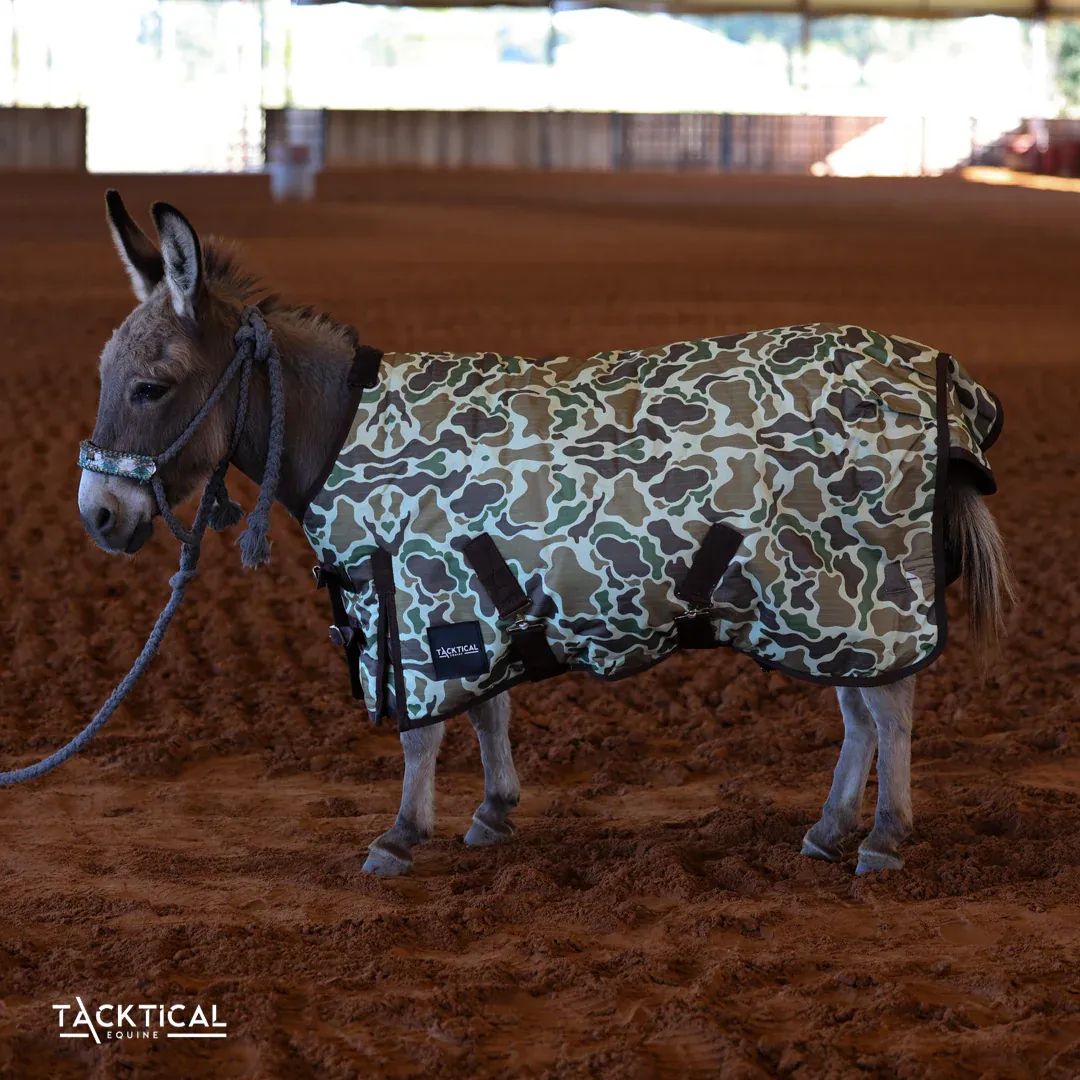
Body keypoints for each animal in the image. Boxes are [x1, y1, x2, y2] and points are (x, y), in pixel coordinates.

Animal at [79, 192, 1015, 877]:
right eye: (104, 376)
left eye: (153, 386)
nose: (100, 514)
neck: (345, 427)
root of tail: (941, 385)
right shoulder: (466, 611)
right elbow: (488, 713)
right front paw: (492, 814)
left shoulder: (417, 610)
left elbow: (424, 733)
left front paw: (400, 836)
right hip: (814, 612)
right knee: (862, 711)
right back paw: (829, 829)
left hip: (852, 598)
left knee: (890, 708)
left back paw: (884, 837)